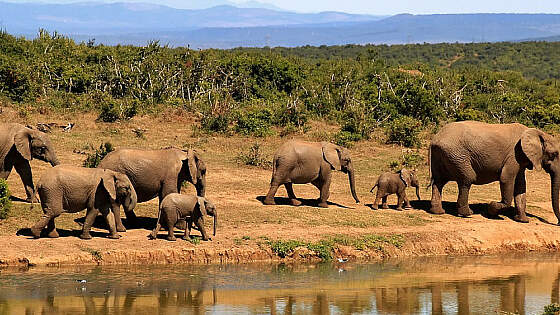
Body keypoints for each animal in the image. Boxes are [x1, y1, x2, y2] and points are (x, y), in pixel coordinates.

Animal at [428, 121, 560, 225]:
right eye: (553, 154)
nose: (558, 223)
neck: (538, 133)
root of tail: (435, 139)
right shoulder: (514, 155)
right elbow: (506, 179)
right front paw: (491, 210)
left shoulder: (521, 159)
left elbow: (521, 186)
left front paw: (523, 220)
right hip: (457, 155)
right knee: (467, 179)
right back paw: (467, 213)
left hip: (442, 155)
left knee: (439, 181)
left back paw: (438, 212)